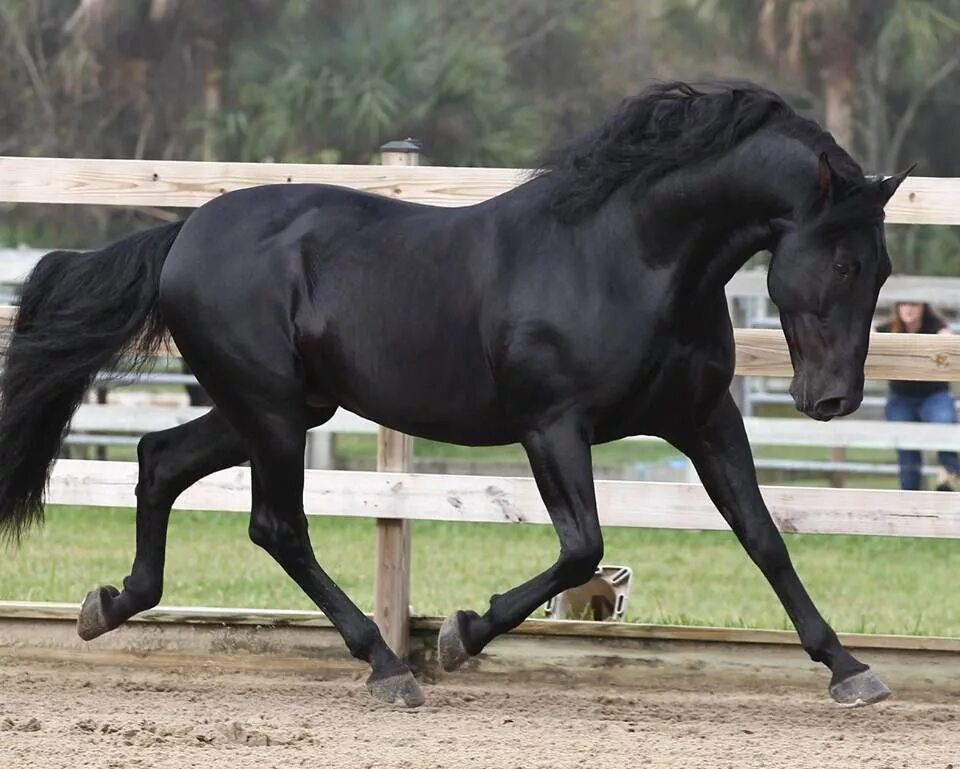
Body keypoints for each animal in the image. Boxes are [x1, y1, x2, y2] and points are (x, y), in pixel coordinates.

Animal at [0, 81, 912, 704]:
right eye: (841, 261)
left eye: (882, 268)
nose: (832, 399)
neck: (628, 256)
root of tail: (185, 231)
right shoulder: (552, 424)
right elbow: (581, 546)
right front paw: (461, 634)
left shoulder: (703, 417)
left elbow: (762, 536)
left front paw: (849, 667)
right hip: (273, 413)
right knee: (276, 525)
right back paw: (388, 667)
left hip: (276, 409)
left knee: (159, 459)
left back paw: (110, 603)